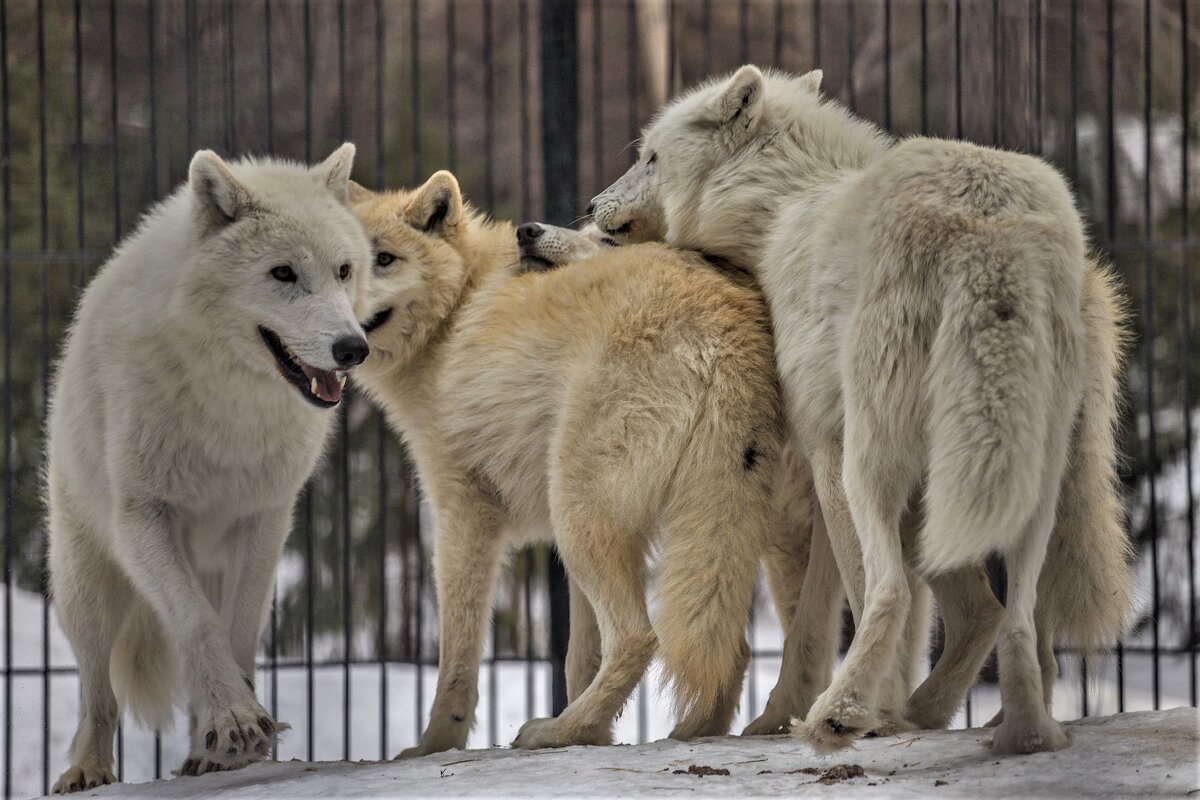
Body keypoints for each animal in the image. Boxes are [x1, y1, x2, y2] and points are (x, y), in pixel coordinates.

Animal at [48, 145, 369, 796]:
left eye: (344, 271)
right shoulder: (143, 517)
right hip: (85, 587)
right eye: (282, 274)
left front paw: (232, 735)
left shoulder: (265, 520)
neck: (232, 404)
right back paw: (88, 769)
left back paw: (203, 753)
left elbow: (235, 630)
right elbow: (197, 625)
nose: (353, 349)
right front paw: (235, 718)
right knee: (98, 692)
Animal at [348, 173, 806, 758]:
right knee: (728, 647)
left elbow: (457, 660)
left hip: (581, 518)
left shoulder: (462, 517)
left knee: (640, 636)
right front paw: (597, 738)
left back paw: (555, 732)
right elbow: (578, 657)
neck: (454, 315)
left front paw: (433, 747)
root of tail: (727, 316)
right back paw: (676, 733)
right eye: (341, 266)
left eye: (383, 260)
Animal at [592, 64, 1132, 758]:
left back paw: (843, 715)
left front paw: (873, 715)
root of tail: (988, 217)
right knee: (1012, 615)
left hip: (871, 461)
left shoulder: (825, 447)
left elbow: (857, 587)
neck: (784, 205)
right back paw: (1022, 733)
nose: (591, 207)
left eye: (650, 158)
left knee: (894, 590)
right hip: (1026, 474)